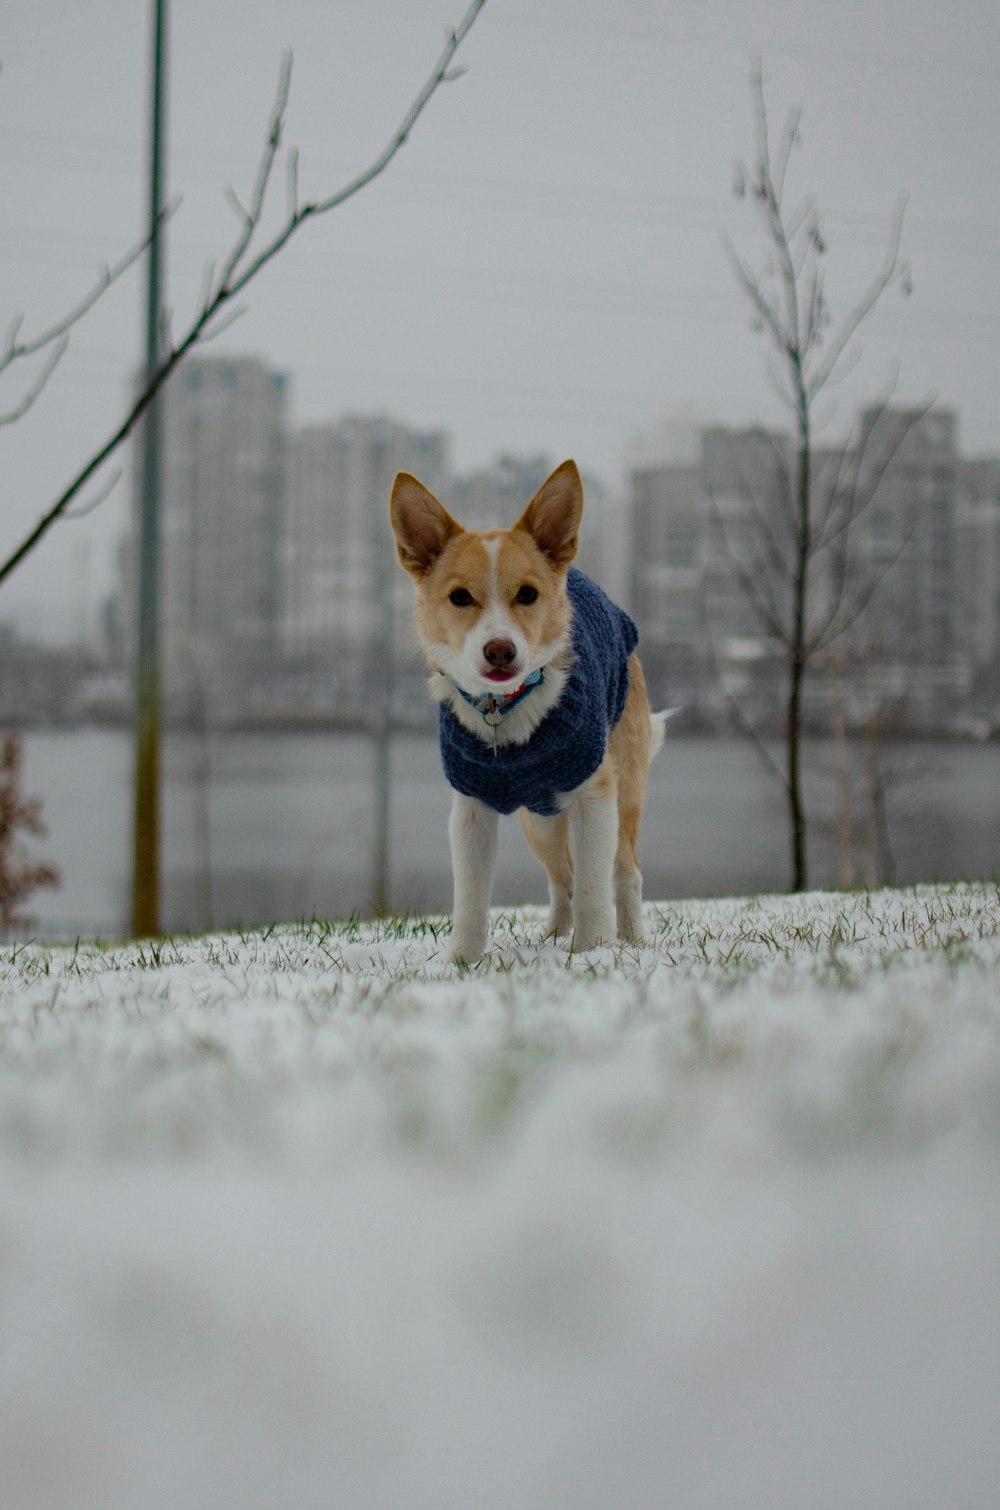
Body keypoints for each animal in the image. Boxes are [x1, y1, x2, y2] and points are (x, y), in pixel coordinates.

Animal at [389, 453, 664, 960]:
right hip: (538, 821)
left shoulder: (596, 796)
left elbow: (595, 888)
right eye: (460, 597)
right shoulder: (471, 809)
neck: (505, 708)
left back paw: (632, 937)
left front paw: (594, 952)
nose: (500, 651)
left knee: (623, 871)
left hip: (625, 792)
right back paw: (555, 933)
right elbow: (471, 896)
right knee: (562, 877)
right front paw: (462, 961)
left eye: (528, 594)